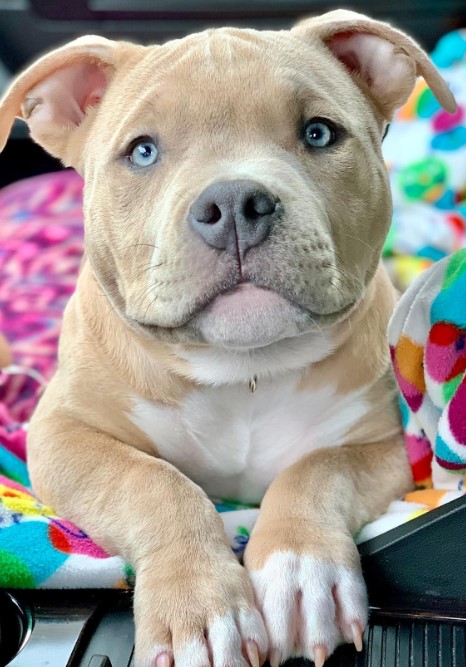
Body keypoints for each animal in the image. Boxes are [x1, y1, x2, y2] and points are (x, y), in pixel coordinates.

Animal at [0, 10, 456, 667]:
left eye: (319, 133)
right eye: (143, 151)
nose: (235, 202)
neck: (243, 369)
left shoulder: (390, 446)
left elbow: (319, 468)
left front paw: (299, 572)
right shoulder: (63, 433)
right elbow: (153, 482)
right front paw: (200, 609)